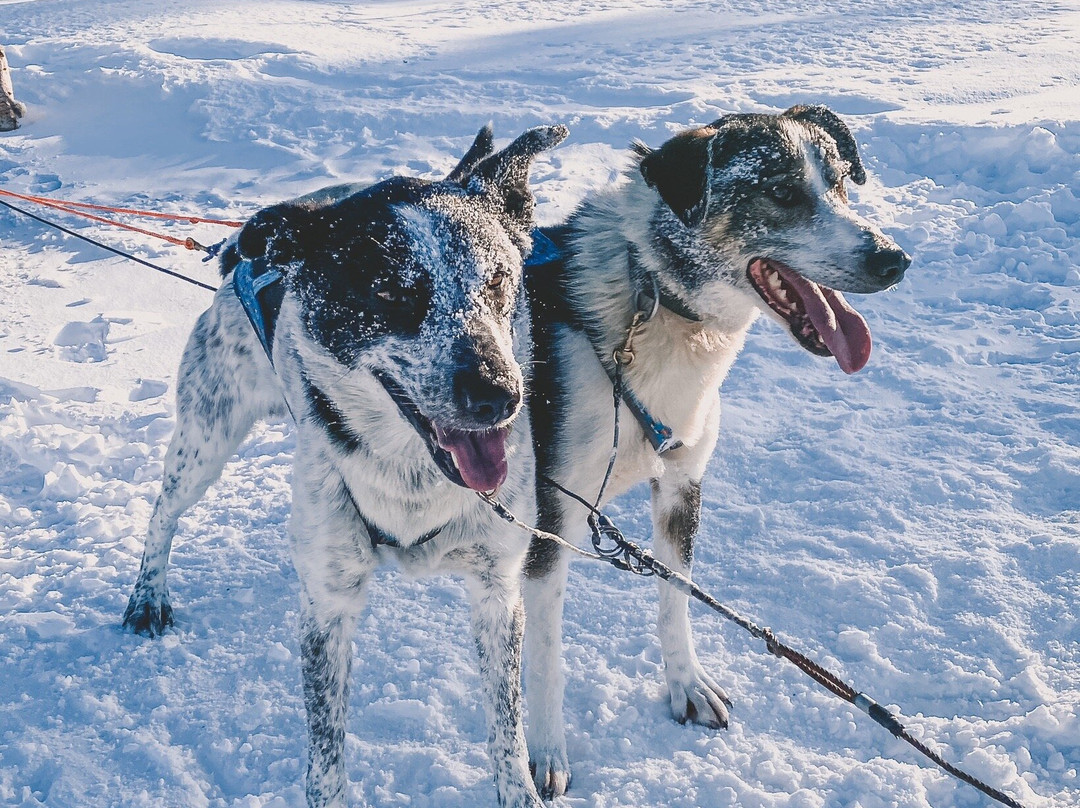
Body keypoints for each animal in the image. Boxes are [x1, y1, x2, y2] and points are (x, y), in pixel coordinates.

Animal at [122, 121, 570, 808]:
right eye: (388, 289)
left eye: (498, 280)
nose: (500, 395)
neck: (413, 485)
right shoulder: (329, 609)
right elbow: (326, 756)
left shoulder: (497, 592)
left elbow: (507, 732)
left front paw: (518, 787)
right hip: (205, 439)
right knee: (163, 513)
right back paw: (148, 593)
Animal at [514, 102, 911, 795]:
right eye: (781, 191)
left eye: (839, 183)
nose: (894, 260)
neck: (651, 300)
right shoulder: (553, 516)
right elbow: (546, 654)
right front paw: (544, 752)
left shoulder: (680, 487)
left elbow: (675, 598)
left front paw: (685, 685)